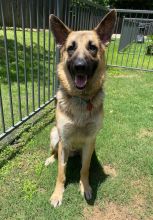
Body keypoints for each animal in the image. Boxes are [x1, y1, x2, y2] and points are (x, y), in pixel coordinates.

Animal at [44, 9, 116, 207]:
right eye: (71, 48)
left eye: (92, 47)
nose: (80, 67)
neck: (82, 100)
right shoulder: (64, 140)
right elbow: (61, 172)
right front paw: (57, 194)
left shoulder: (90, 140)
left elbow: (85, 168)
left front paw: (86, 187)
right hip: (55, 135)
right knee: (55, 153)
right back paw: (50, 159)